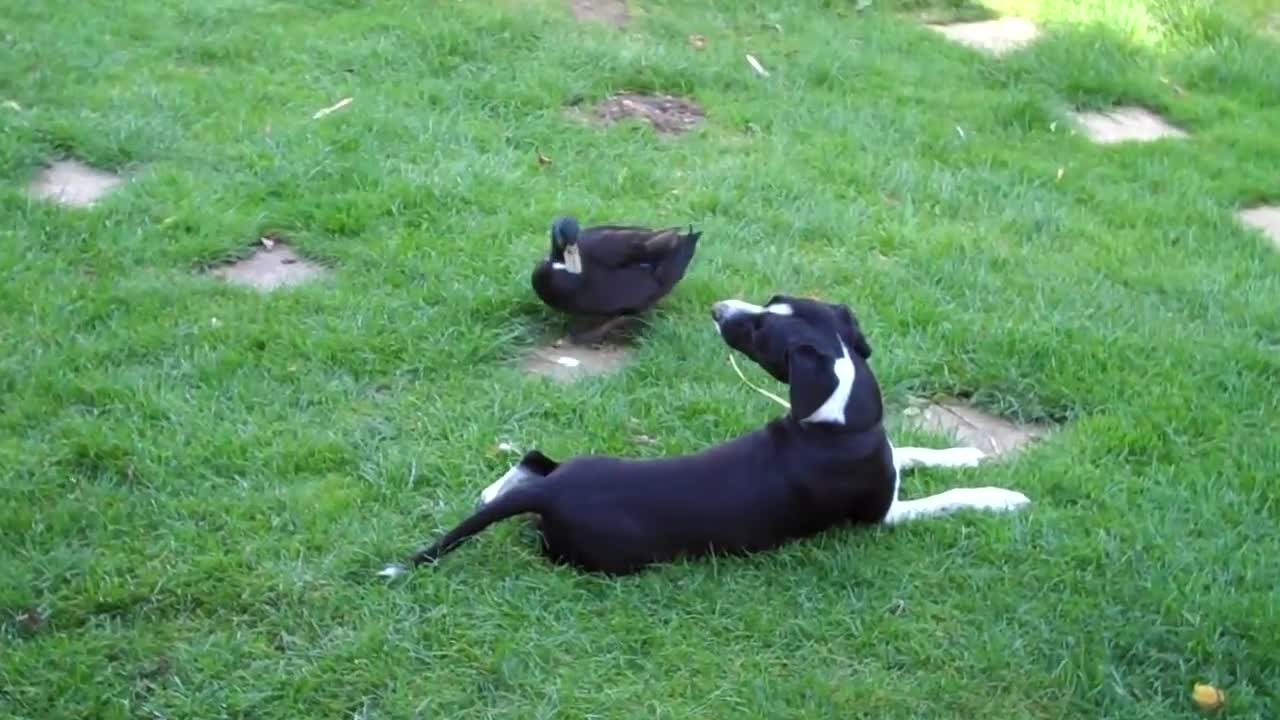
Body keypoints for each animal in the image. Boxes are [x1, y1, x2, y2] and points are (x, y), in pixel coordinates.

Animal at [378, 294, 1029, 573]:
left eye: (762, 324)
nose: (719, 310)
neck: (837, 423)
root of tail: (551, 496)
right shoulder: (880, 518)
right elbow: (944, 499)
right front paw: (1002, 495)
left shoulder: (889, 465)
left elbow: (917, 452)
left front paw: (965, 453)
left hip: (578, 462)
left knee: (531, 460)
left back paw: (497, 490)